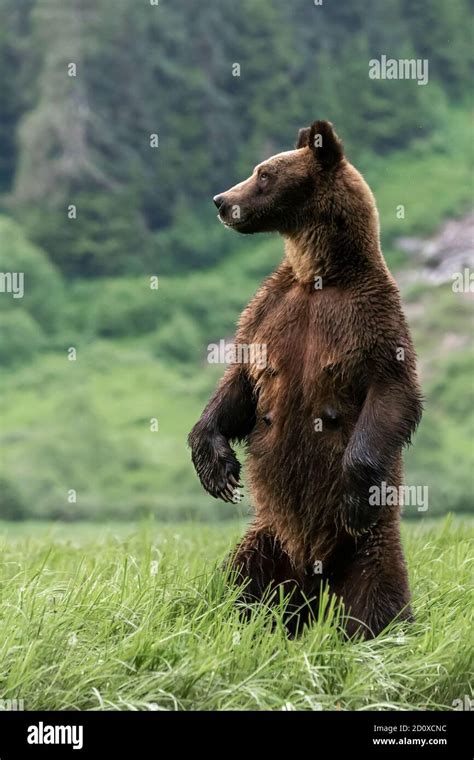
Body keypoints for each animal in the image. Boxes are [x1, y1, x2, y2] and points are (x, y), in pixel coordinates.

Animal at [189, 121, 422, 640]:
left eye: (264, 174)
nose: (219, 199)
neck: (319, 274)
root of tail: (309, 583)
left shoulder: (370, 317)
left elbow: (393, 389)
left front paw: (355, 491)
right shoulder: (269, 310)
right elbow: (241, 383)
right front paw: (218, 468)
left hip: (367, 549)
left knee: (375, 598)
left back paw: (377, 631)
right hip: (266, 538)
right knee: (235, 582)